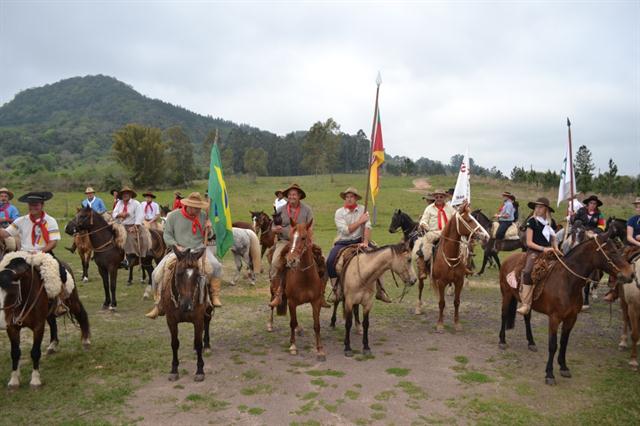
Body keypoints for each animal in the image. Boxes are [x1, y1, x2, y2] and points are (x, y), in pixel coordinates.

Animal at [0, 256, 90, 390]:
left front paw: (35, 380)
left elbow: (35, 352)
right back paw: (53, 345)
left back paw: (86, 340)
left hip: (72, 301)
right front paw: (14, 380)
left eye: (11, 292)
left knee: (81, 314)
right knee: (53, 323)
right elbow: (15, 353)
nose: (2, 321)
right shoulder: (12, 328)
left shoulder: (38, 326)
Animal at [161, 246, 214, 382]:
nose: (187, 305)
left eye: (197, 275)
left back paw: (207, 346)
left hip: (207, 310)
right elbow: (174, 343)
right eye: (179, 273)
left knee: (207, 322)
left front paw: (200, 370)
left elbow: (198, 343)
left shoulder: (198, 320)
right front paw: (174, 370)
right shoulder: (171, 321)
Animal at [272, 218, 328, 362]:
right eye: (291, 238)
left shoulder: (315, 302)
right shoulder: (292, 302)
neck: (305, 277)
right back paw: (270, 324)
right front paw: (293, 346)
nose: (291, 260)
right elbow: (292, 322)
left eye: (303, 237)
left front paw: (320, 350)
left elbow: (317, 325)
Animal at [430, 203, 490, 332]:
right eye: (469, 220)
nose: (486, 236)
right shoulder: (441, 282)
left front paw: (457, 323)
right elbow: (441, 302)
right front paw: (440, 324)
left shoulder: (459, 281)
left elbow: (457, 302)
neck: (450, 256)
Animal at [500, 231, 636, 384]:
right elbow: (553, 345)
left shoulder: (571, 318)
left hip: (526, 302)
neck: (568, 281)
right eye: (612, 251)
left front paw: (563, 367)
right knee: (504, 315)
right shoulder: (554, 318)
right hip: (506, 295)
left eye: (618, 249)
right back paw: (502, 341)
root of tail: (508, 259)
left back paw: (531, 342)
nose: (631, 274)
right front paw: (549, 374)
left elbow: (564, 342)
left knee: (527, 317)